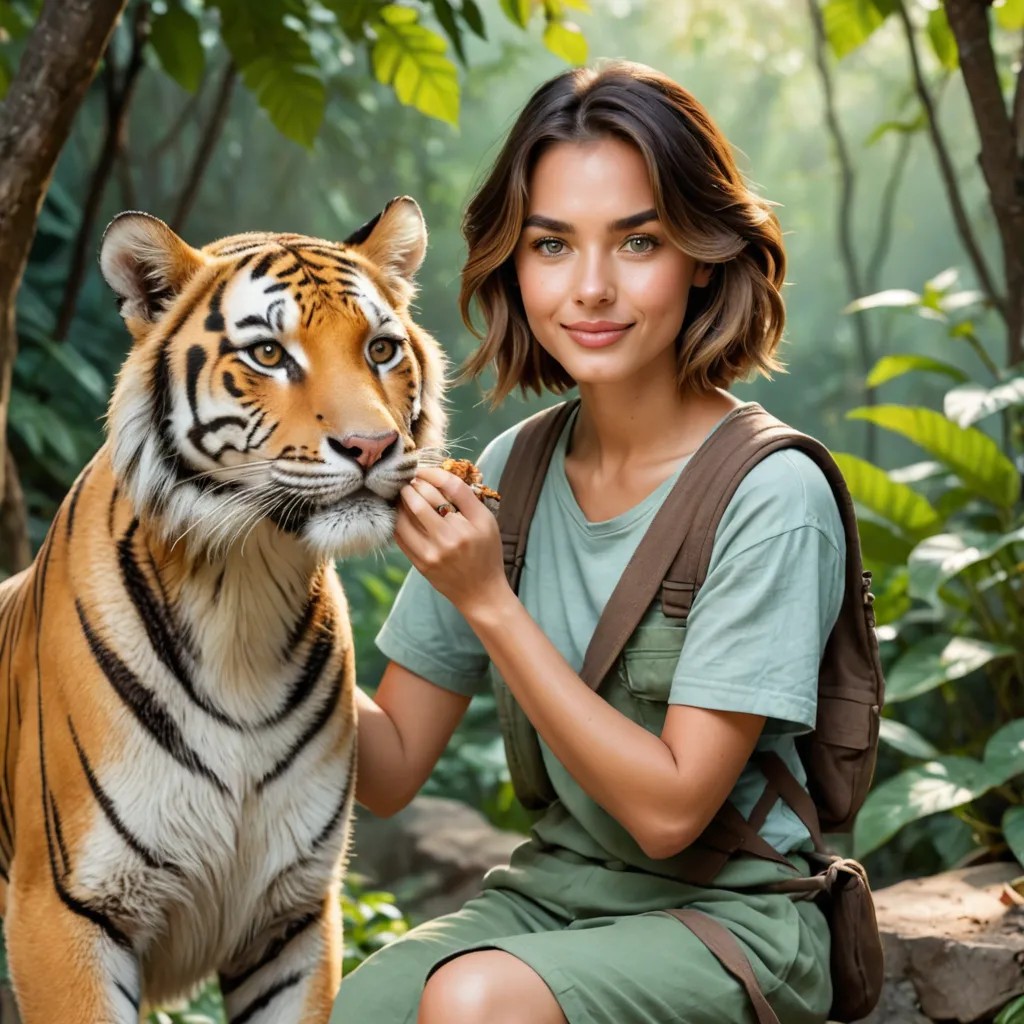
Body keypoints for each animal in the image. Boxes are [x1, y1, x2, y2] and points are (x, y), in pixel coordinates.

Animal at [0, 196, 446, 1023]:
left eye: (380, 349)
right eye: (269, 354)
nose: (371, 447)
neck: (244, 584)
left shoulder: (292, 916)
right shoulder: (67, 908)